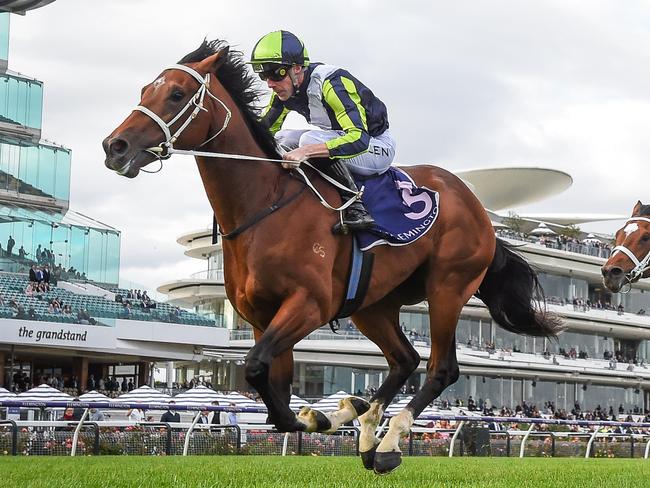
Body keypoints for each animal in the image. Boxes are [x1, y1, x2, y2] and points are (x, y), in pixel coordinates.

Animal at [101, 40, 556, 474]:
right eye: (145, 90)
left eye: (177, 94)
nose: (114, 146)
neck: (264, 206)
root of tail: (478, 207)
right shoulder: (261, 316)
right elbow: (274, 385)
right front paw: (320, 416)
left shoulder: (310, 304)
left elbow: (256, 367)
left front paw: (309, 418)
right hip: (373, 305)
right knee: (404, 360)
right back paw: (362, 427)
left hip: (448, 287)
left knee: (441, 368)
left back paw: (388, 444)